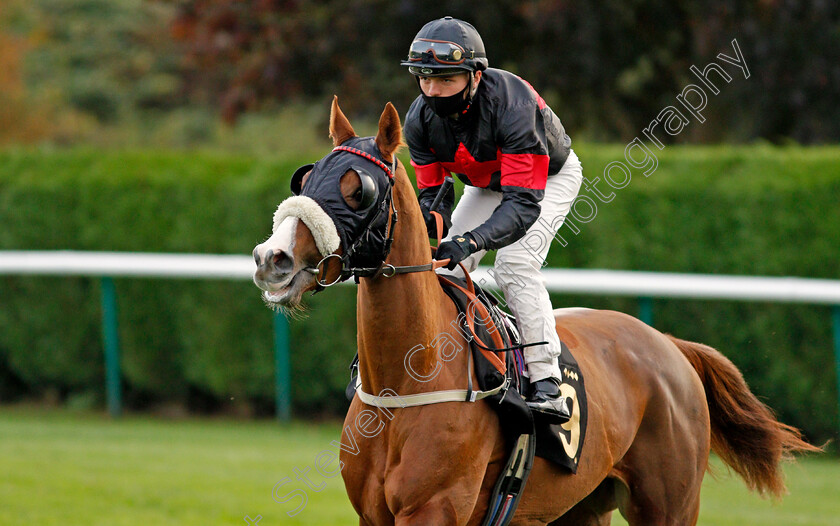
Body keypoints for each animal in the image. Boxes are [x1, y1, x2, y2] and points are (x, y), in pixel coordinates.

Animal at [253, 97, 816, 524]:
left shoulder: (433, 510)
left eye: (358, 190)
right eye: (304, 181)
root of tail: (669, 346)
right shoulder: (374, 514)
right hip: (582, 507)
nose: (270, 259)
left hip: (669, 505)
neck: (407, 384)